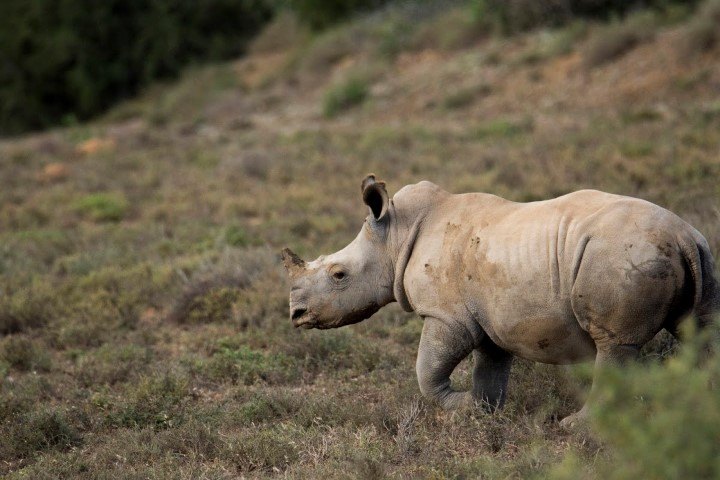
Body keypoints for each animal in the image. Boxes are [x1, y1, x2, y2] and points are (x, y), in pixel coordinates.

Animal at [282, 174, 720, 426]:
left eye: (339, 275)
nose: (296, 314)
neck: (394, 235)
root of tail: (683, 234)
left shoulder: (447, 316)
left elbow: (427, 370)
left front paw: (460, 406)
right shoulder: (490, 318)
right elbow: (489, 369)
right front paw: (482, 413)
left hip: (620, 255)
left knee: (614, 344)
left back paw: (574, 428)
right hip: (696, 254)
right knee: (700, 331)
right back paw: (701, 407)